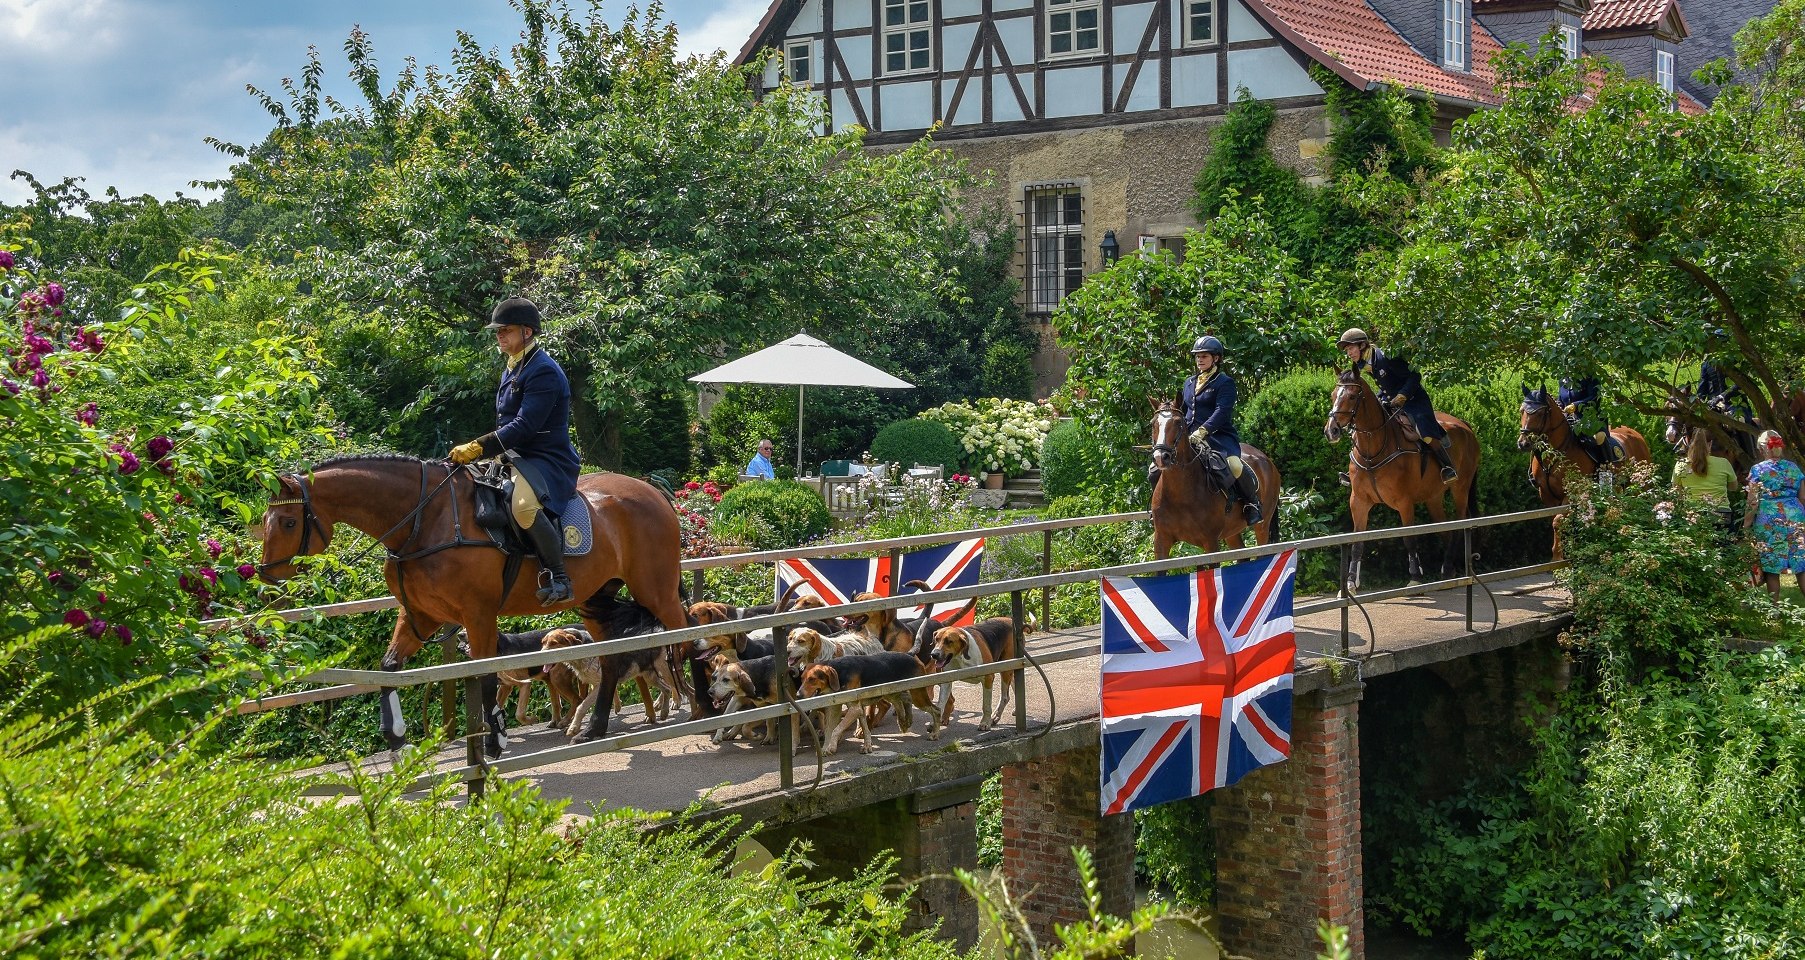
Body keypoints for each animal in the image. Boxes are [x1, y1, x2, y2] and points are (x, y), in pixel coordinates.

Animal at [261, 452, 689, 761]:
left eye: (287, 522)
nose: (266, 575)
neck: (425, 521)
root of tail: (653, 492)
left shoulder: (478, 614)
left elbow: (484, 674)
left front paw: (494, 740)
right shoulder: (421, 615)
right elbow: (389, 668)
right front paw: (398, 739)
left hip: (656, 591)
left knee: (684, 637)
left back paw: (696, 706)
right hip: (594, 600)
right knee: (613, 658)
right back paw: (595, 727)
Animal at [1155, 400, 1285, 559]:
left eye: (1178, 422)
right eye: (1153, 423)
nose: (1161, 457)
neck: (1179, 493)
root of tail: (1267, 459)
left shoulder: (1210, 541)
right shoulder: (1161, 540)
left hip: (1262, 526)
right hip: (1231, 531)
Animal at [1328, 369, 1480, 588]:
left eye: (1352, 397)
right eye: (1333, 395)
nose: (1331, 430)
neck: (1373, 451)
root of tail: (1465, 426)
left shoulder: (1404, 503)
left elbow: (1409, 538)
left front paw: (1415, 576)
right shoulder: (1359, 502)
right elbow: (1357, 541)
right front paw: (1350, 584)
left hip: (1460, 488)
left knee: (1460, 521)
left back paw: (1447, 566)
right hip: (1433, 497)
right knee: (1445, 528)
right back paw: (1449, 567)